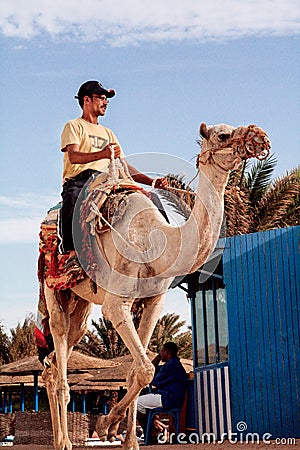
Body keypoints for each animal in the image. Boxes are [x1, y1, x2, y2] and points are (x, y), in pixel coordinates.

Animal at [39, 121, 270, 448]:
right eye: (223, 134)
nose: (260, 136)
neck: (157, 240)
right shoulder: (116, 303)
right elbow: (148, 369)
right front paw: (105, 424)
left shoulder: (153, 301)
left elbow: (138, 372)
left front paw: (127, 439)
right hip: (54, 288)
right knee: (59, 355)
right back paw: (64, 442)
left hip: (80, 302)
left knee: (55, 361)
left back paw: (63, 436)